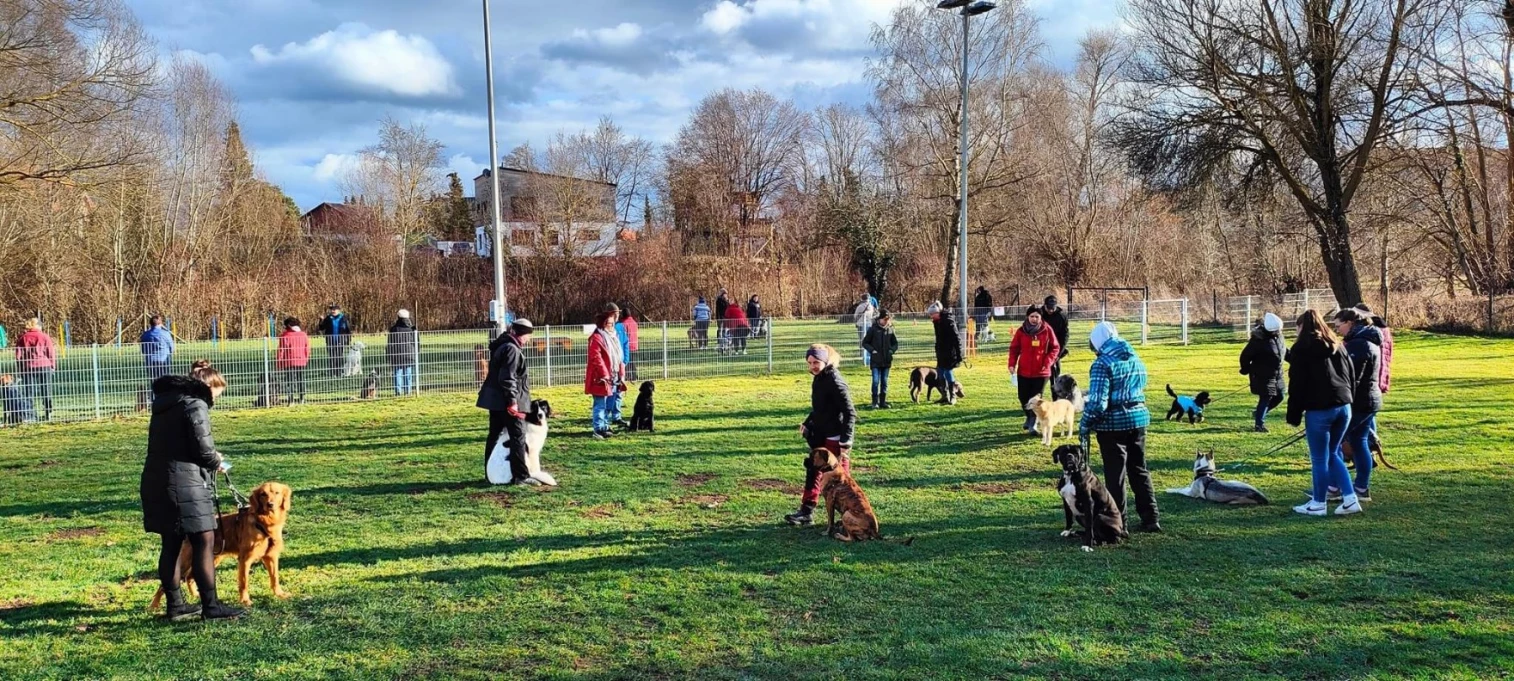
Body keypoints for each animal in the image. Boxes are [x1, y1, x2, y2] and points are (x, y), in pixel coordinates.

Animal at [152, 481, 293, 608]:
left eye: (277, 493)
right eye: (263, 494)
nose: (270, 504)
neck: (265, 522)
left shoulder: (271, 556)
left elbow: (275, 578)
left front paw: (279, 594)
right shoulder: (245, 559)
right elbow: (244, 582)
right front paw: (245, 600)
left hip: (211, 558)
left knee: (189, 577)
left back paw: (196, 595)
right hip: (185, 561)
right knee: (165, 583)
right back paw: (154, 606)